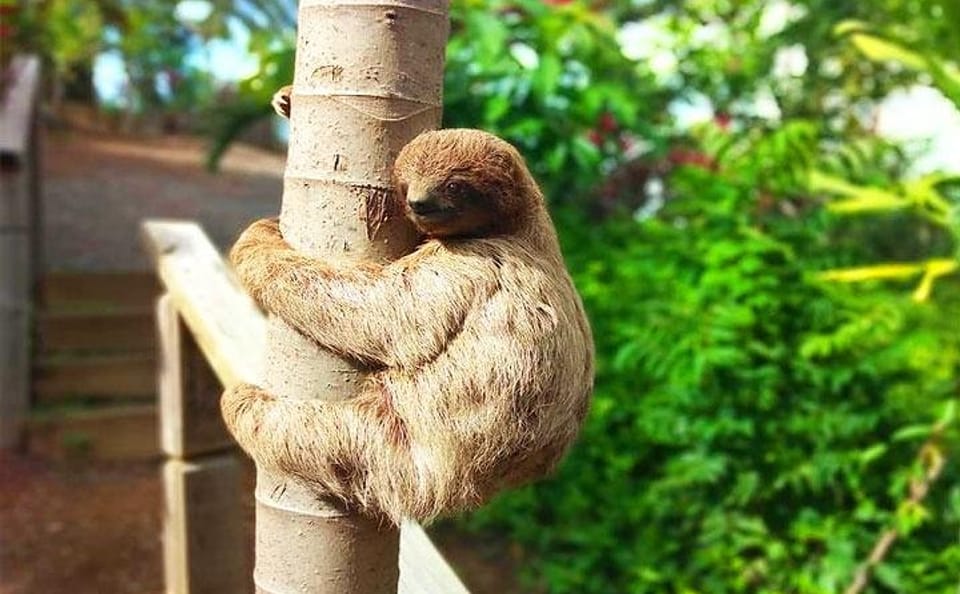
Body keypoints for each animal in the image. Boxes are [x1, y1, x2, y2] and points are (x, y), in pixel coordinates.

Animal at [222, 115, 594, 525]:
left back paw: (243, 399)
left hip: (395, 457)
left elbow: (378, 313)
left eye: (454, 186)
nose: (420, 202)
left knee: (300, 429)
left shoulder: (469, 263)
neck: (518, 225)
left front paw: (257, 238)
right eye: (406, 185)